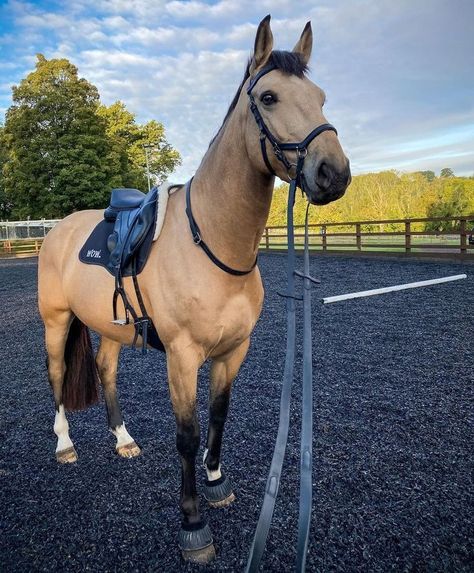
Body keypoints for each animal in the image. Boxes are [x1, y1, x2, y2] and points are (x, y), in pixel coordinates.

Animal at [39, 16, 352, 564]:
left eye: (320, 96)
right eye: (268, 97)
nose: (333, 174)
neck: (214, 245)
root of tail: (57, 230)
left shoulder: (233, 351)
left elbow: (218, 418)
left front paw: (216, 483)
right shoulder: (182, 357)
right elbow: (186, 436)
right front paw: (192, 524)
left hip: (112, 328)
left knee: (105, 370)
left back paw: (123, 439)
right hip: (56, 321)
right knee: (57, 377)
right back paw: (64, 446)